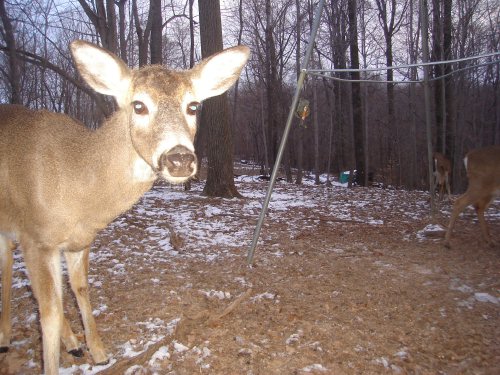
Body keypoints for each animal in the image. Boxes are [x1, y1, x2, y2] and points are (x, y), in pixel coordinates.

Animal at [0, 39, 250, 374]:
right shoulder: (36, 238)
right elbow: (48, 313)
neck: (75, 185)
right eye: (139, 105)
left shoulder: (80, 242)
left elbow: (80, 289)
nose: (180, 158)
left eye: (193, 106)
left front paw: (98, 352)